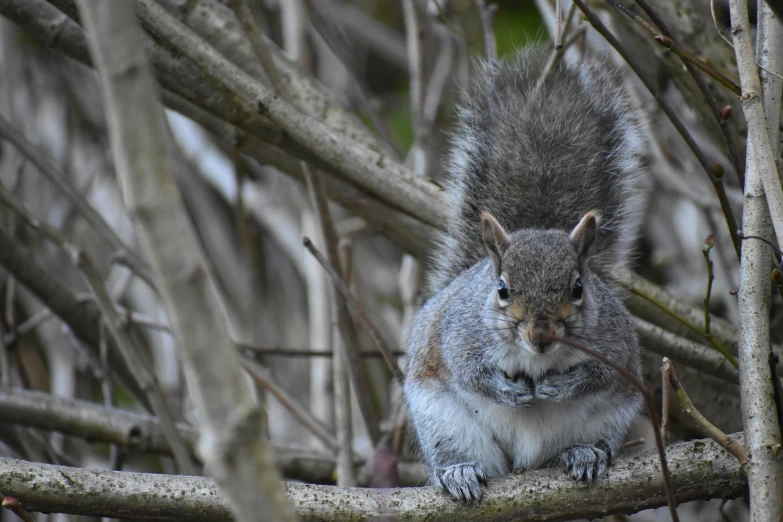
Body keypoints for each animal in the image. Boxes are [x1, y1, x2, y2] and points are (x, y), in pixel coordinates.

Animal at [402, 46, 648, 502]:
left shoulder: (615, 344)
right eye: (502, 289)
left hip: (609, 417)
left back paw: (585, 453)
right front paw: (507, 390)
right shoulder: (459, 336)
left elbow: (603, 373)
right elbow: (471, 372)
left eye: (578, 288)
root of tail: (525, 464)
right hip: (443, 422)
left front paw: (562, 386)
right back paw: (459, 472)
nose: (541, 334)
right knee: (458, 452)